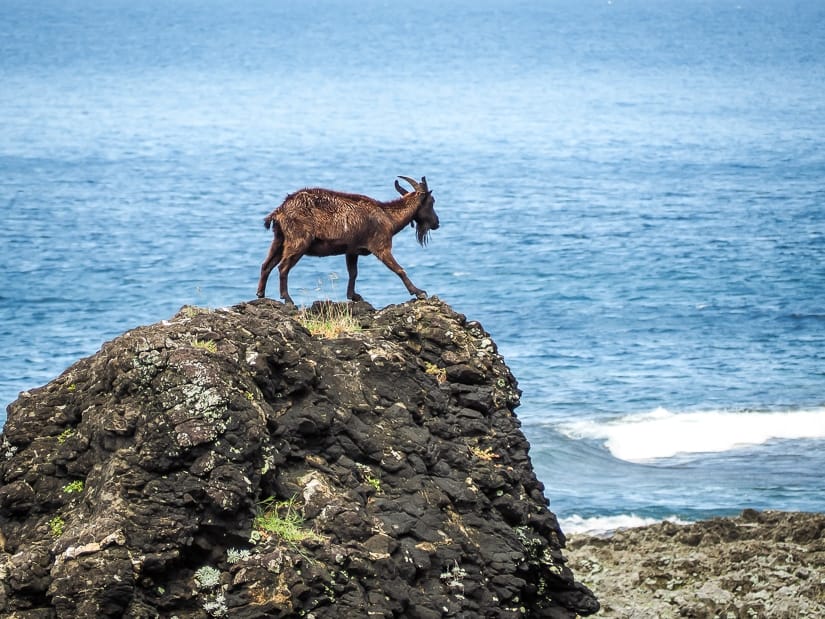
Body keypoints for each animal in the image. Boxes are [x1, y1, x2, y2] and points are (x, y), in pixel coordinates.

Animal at [256, 174, 438, 306]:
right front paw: (419, 292)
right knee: (282, 267)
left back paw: (261, 294)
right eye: (431, 202)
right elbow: (399, 270)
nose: (437, 223)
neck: (388, 217)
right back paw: (287, 299)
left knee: (266, 264)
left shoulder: (351, 250)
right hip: (298, 241)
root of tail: (280, 211)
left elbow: (353, 273)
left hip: (279, 239)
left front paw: (354, 296)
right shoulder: (381, 246)